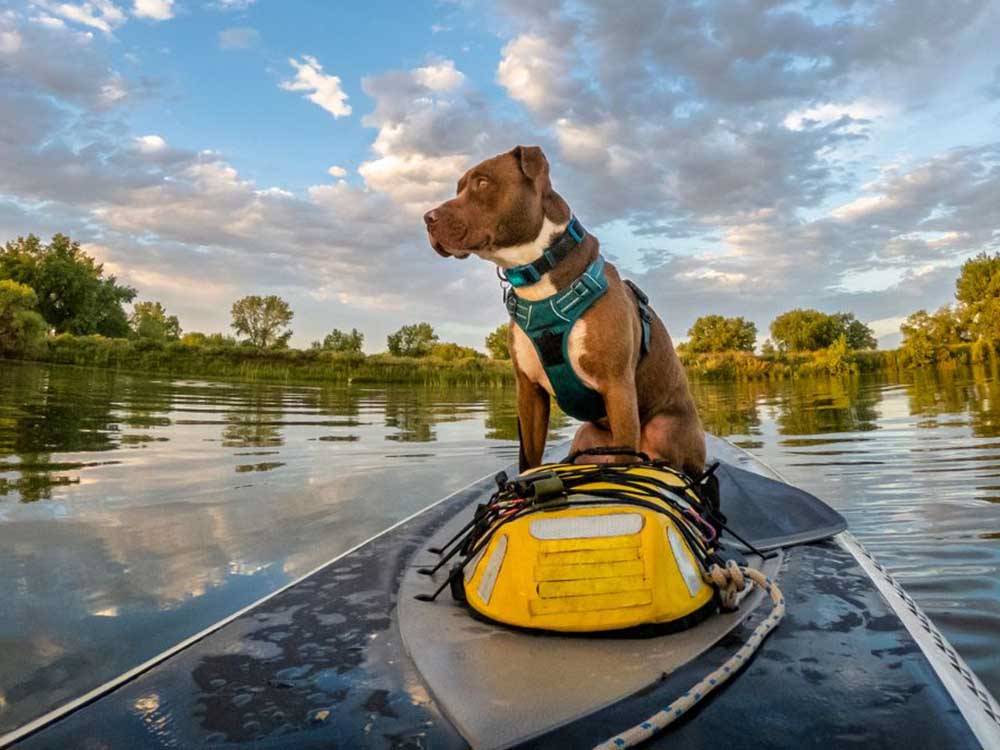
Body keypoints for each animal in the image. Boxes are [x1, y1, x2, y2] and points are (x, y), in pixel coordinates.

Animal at [422, 147, 704, 476]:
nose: (427, 218)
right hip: (586, 436)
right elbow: (529, 458)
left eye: (482, 182)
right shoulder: (528, 392)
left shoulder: (618, 387)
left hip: (664, 428)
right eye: (458, 188)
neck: (538, 276)